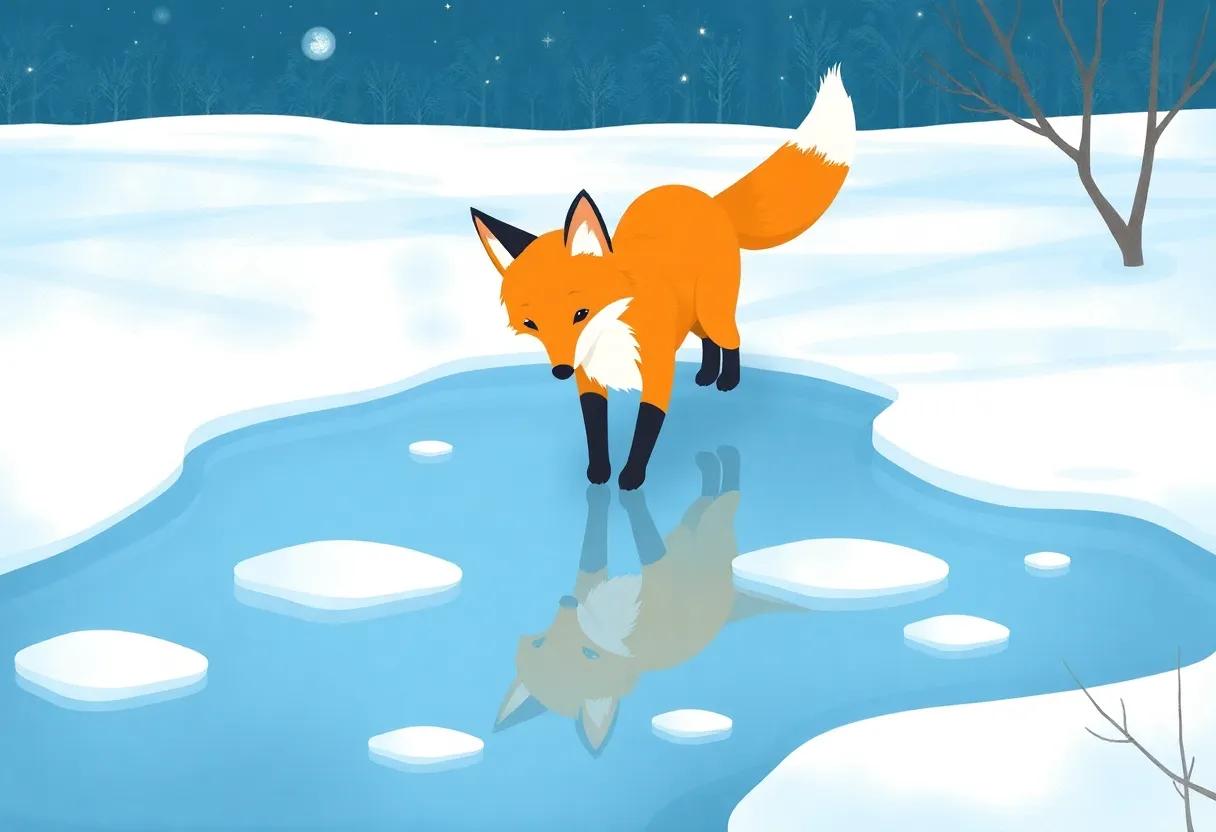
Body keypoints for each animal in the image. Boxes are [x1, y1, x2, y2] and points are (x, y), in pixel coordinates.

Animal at [470, 66, 856, 490]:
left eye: (580, 313)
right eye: (531, 323)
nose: (560, 371)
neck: (612, 336)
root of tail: (704, 198)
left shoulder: (656, 372)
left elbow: (645, 432)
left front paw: (631, 478)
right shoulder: (589, 378)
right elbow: (595, 430)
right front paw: (598, 473)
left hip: (713, 310)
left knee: (730, 338)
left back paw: (727, 381)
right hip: (692, 317)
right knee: (708, 342)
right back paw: (705, 374)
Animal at [494, 447, 792, 753]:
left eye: (588, 653)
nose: (567, 601)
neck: (606, 626)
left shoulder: (600, 579)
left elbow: (601, 544)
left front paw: (609, 492)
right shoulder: (658, 581)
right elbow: (640, 539)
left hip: (692, 529)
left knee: (709, 497)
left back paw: (711, 459)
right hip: (709, 527)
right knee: (724, 496)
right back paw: (719, 459)